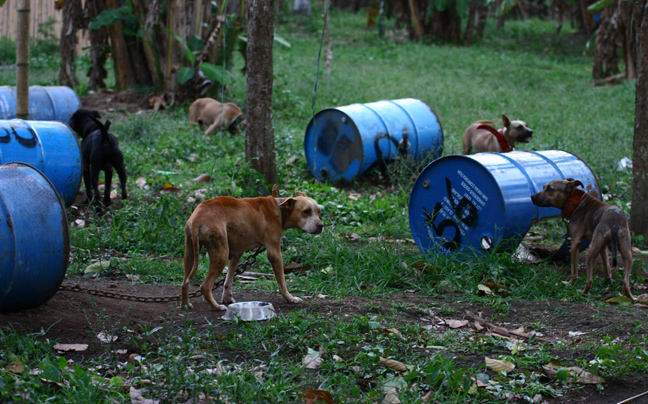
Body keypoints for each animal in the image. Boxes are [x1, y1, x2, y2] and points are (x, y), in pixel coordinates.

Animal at [181, 191, 322, 310]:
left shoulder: (237, 253)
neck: (280, 208)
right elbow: (281, 282)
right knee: (205, 286)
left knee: (185, 282)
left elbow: (228, 279)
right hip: (220, 255)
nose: (321, 226)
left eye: (319, 212)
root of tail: (198, 216)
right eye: (306, 211)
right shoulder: (275, 254)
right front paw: (290, 298)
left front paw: (227, 298)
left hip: (190, 254)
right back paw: (216, 307)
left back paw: (185, 304)